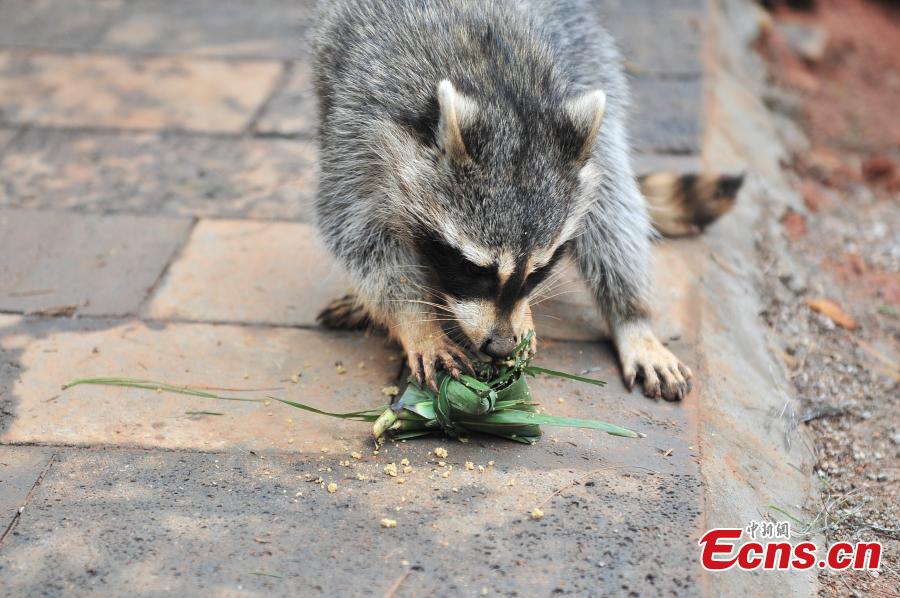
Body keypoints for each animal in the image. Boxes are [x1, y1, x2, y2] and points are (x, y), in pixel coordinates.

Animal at [312, 2, 740, 404]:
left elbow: (611, 205)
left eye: (540, 270)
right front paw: (416, 322)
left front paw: (630, 319)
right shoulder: (359, 129)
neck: (502, 87)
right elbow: (357, 231)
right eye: (473, 268)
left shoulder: (582, 84)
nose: (500, 345)